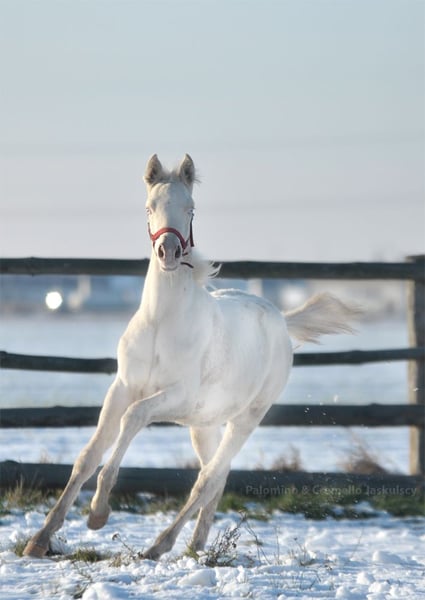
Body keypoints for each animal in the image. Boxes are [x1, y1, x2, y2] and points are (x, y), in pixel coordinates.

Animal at [23, 154, 358, 560]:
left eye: (191, 209)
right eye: (149, 207)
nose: (168, 252)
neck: (161, 322)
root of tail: (280, 318)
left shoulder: (175, 396)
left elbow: (133, 419)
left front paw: (98, 513)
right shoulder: (122, 387)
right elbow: (88, 455)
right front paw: (40, 539)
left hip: (247, 417)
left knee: (209, 477)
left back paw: (159, 545)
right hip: (205, 423)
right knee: (218, 476)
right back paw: (196, 547)